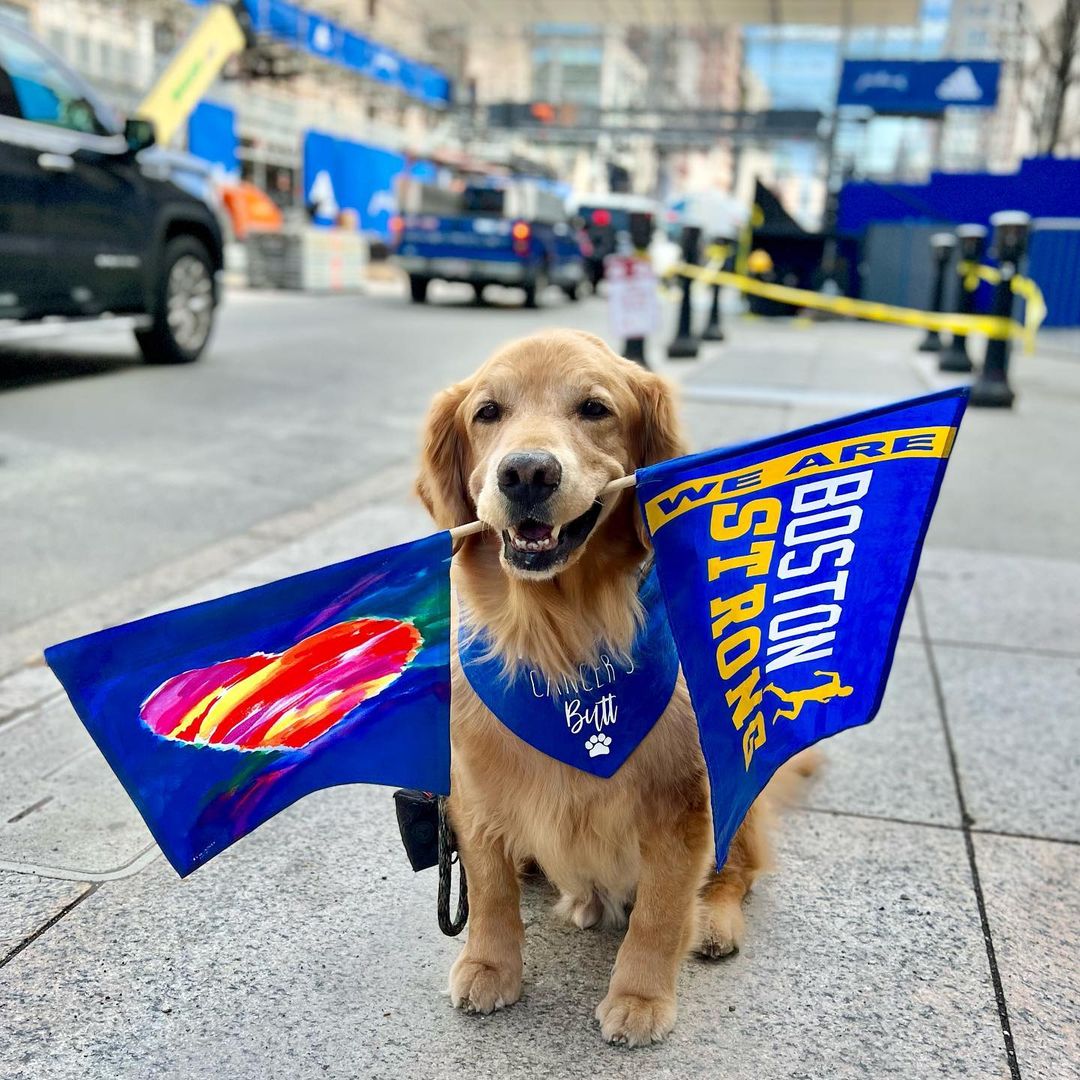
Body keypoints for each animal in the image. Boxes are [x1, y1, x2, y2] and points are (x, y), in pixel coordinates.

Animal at [416, 328, 807, 1045]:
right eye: (488, 413)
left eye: (594, 409)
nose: (527, 472)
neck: (562, 644)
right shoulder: (476, 792)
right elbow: (490, 891)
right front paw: (489, 965)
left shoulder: (684, 803)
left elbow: (660, 910)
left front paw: (641, 996)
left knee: (737, 873)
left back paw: (713, 922)